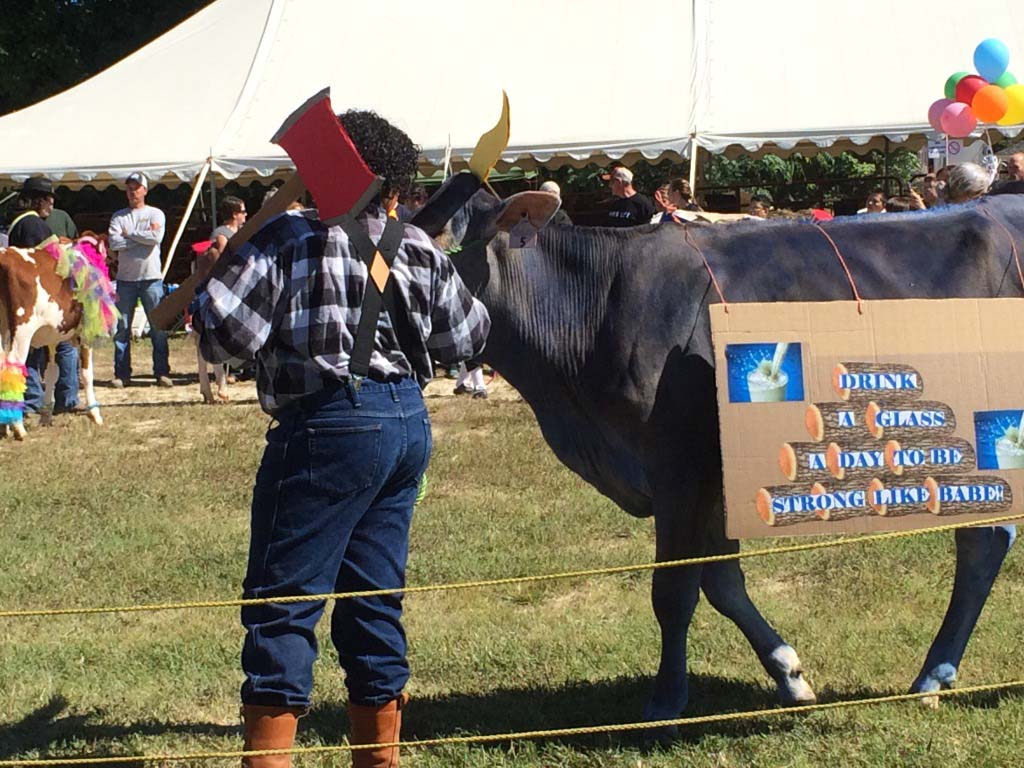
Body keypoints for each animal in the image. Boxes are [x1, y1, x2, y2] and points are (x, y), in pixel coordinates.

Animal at [0, 236, 111, 438]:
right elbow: (86, 373)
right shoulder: (85, 334)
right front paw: (95, 414)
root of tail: (5, 255)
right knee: (13, 366)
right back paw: (18, 426)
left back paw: (5, 425)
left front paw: (45, 416)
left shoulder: (51, 339)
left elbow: (52, 372)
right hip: (22, 331)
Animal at [411, 182, 1019, 729]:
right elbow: (723, 582)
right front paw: (790, 676)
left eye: (438, 243)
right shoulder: (711, 476)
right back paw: (934, 675)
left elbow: (674, 590)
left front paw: (664, 704)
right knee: (984, 541)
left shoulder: (678, 464)